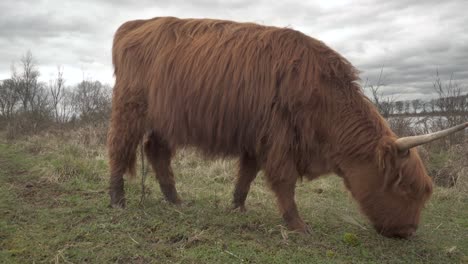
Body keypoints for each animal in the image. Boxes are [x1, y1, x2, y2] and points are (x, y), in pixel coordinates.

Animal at [108, 17, 466, 238]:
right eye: (405, 188)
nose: (409, 232)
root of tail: (135, 25)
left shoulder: (257, 139)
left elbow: (247, 174)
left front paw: (237, 207)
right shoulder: (280, 138)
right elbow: (284, 182)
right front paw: (298, 226)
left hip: (164, 120)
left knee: (156, 151)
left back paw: (175, 200)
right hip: (131, 107)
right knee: (120, 148)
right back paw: (117, 200)